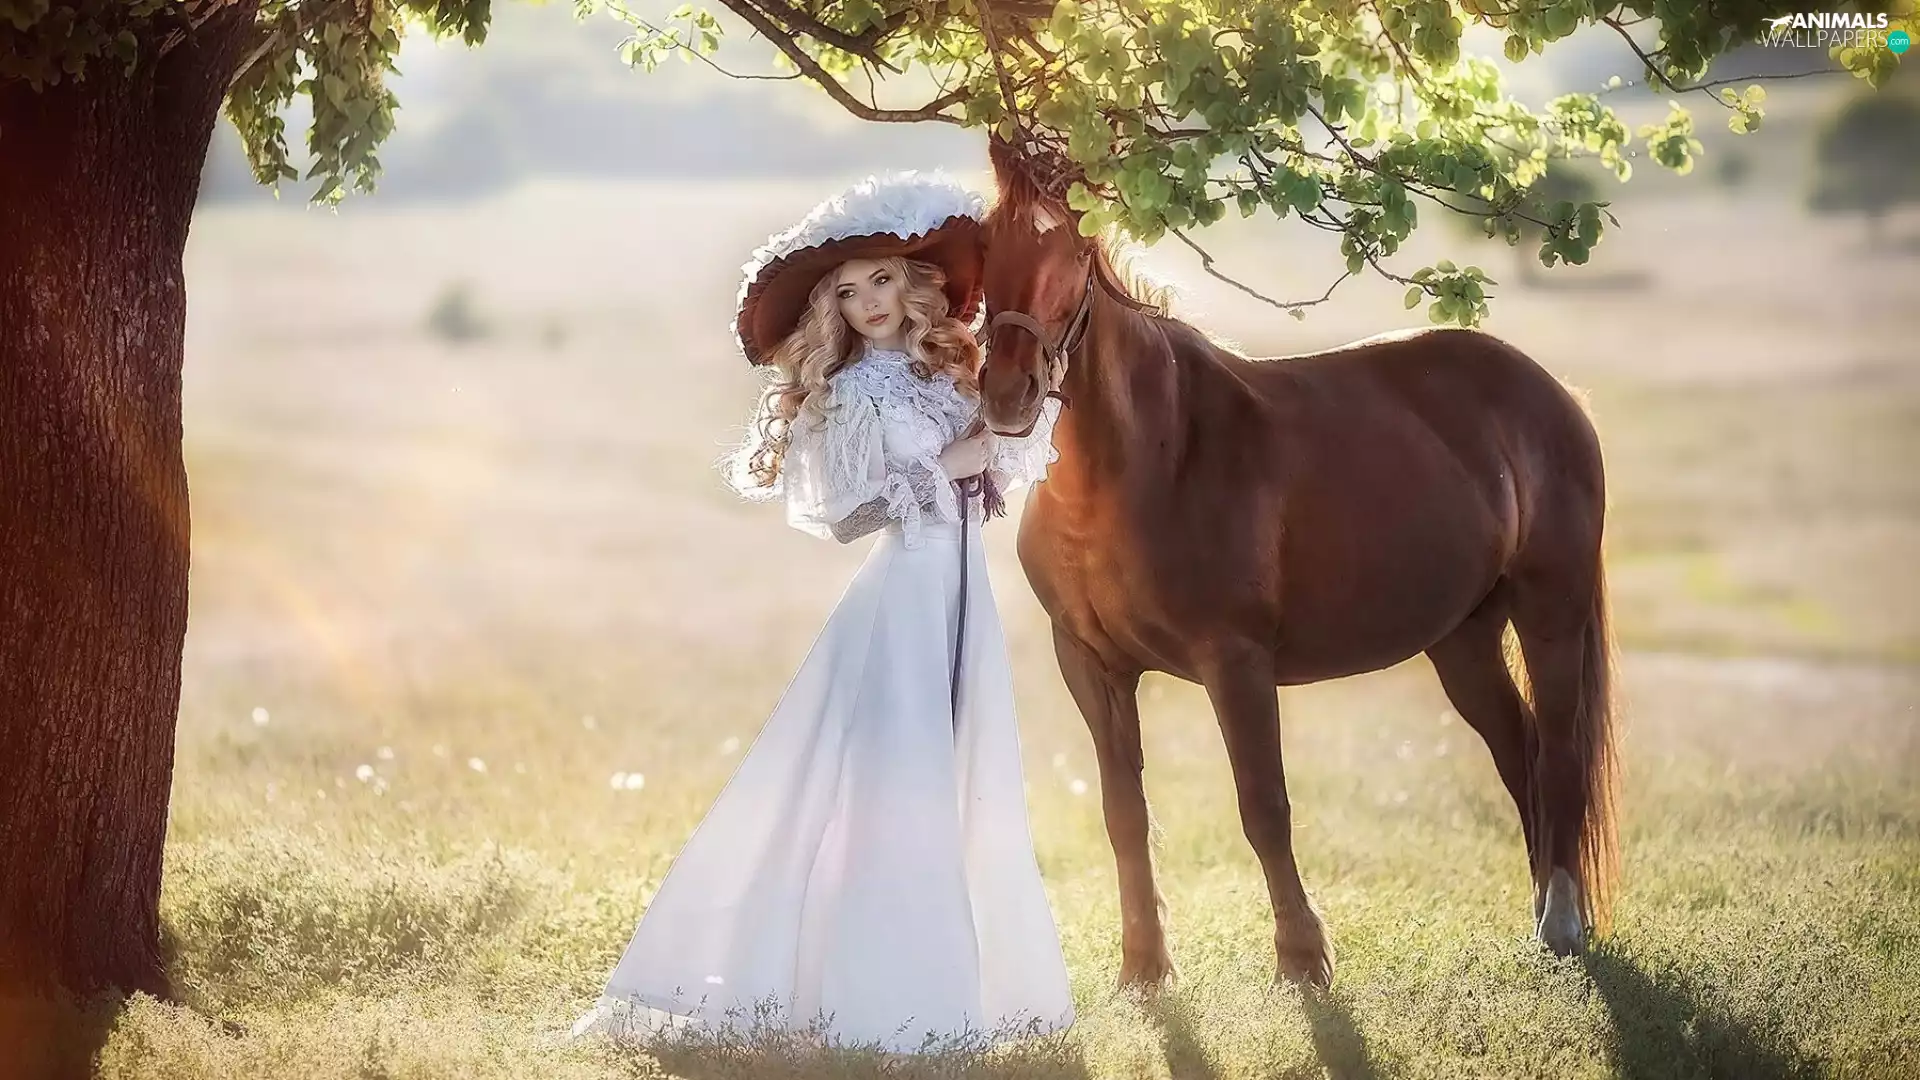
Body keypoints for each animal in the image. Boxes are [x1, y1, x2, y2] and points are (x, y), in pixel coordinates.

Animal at [974, 142, 1620, 990]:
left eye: (1075, 250)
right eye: (984, 243)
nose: (1007, 395)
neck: (1151, 458)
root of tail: (1556, 395)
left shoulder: (1235, 662)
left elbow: (1263, 805)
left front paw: (1302, 956)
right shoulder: (1090, 664)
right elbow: (1124, 814)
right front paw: (1144, 966)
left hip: (1550, 616)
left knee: (1562, 754)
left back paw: (1564, 922)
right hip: (1463, 640)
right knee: (1521, 751)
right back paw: (1542, 914)